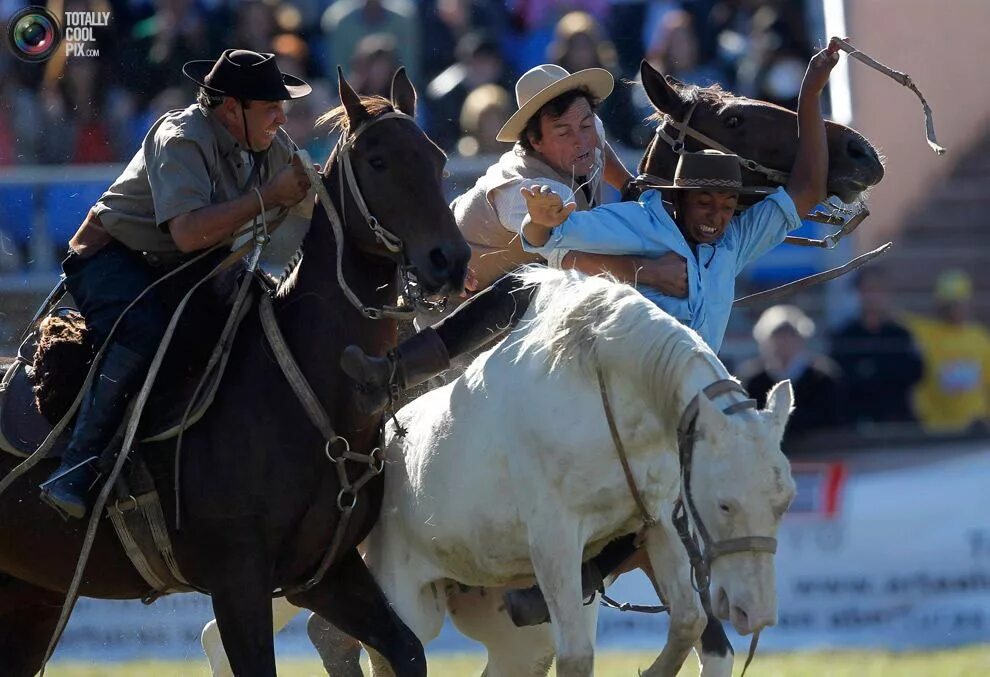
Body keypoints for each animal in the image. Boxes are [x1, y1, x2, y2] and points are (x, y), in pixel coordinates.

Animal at [0, 66, 470, 672]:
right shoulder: (238, 583)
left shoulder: (325, 574)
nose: (449, 260)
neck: (299, 382)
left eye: (437, 156)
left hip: (31, 599)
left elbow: (406, 650)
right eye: (378, 160)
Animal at [202, 270, 800, 676]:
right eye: (724, 503)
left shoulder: (656, 524)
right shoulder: (554, 541)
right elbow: (578, 657)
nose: (755, 613)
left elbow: (689, 622)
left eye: (785, 502)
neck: (603, 379)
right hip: (398, 594)